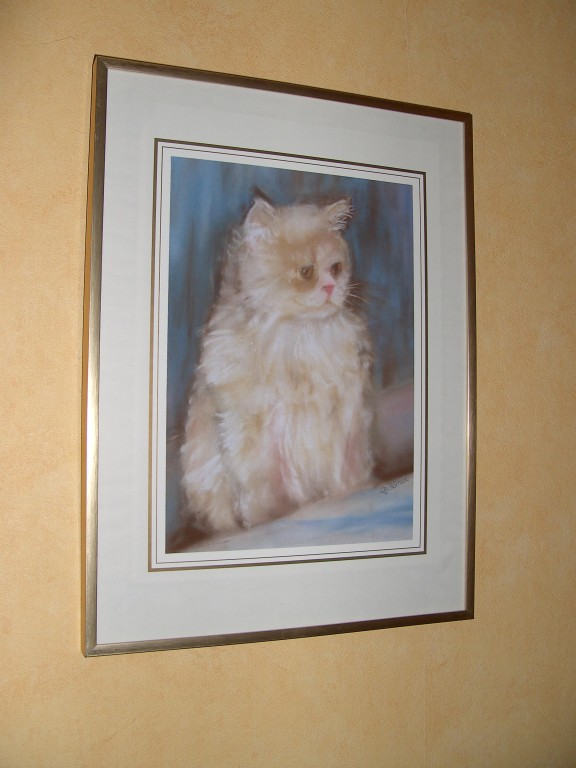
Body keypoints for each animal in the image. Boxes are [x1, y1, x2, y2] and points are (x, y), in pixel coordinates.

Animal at [179, 196, 375, 535]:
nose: (331, 287)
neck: (297, 334)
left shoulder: (344, 412)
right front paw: (267, 519)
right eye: (306, 271)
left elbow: (342, 468)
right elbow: (264, 480)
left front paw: (349, 492)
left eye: (336, 268)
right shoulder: (252, 425)